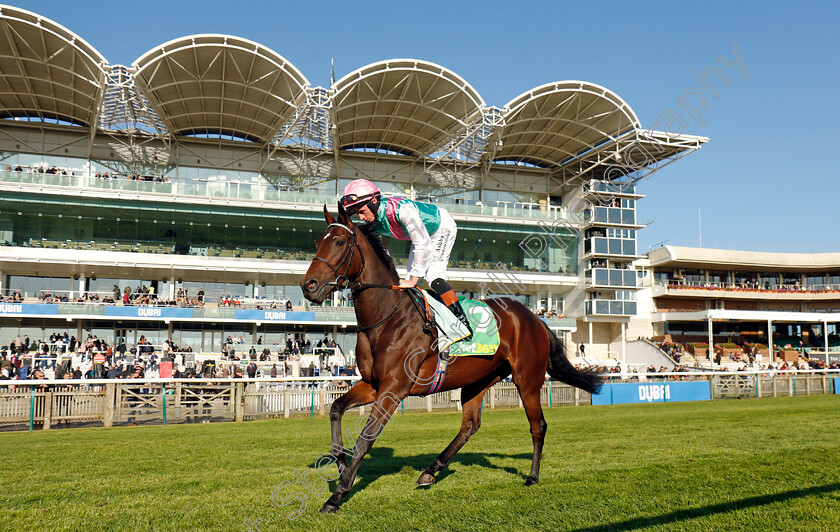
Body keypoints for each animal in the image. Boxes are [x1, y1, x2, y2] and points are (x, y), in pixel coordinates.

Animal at [298, 206, 600, 512]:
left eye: (339, 242)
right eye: (317, 243)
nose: (308, 285)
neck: (387, 316)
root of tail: (534, 318)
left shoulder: (394, 388)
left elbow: (365, 439)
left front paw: (337, 495)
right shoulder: (373, 384)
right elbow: (336, 408)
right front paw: (340, 465)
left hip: (527, 379)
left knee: (537, 425)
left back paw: (532, 476)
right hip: (478, 380)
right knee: (470, 425)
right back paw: (430, 471)